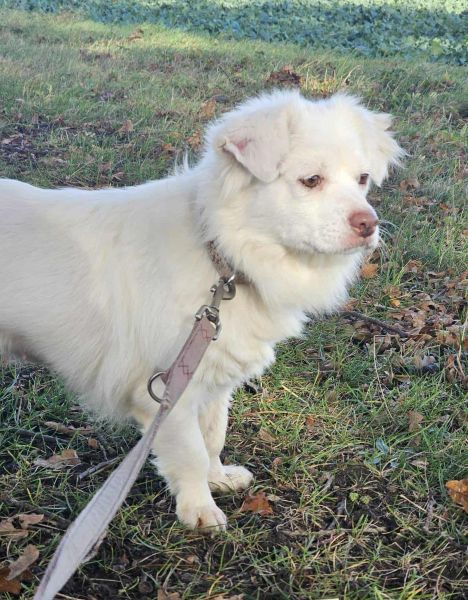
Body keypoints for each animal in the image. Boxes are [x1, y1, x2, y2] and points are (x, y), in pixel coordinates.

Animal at [0, 90, 402, 530]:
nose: (369, 224)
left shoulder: (212, 382)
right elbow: (190, 452)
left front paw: (219, 479)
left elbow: (212, 438)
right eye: (311, 180)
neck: (221, 256)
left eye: (362, 180)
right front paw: (200, 510)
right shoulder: (167, 393)